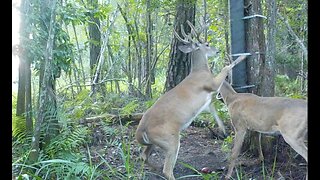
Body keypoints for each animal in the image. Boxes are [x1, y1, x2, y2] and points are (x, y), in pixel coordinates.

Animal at [135, 20, 248, 179]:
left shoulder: (207, 101)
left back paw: (155, 168)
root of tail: (140, 131)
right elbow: (226, 67)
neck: (200, 71)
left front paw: (223, 130)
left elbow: (215, 112)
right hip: (170, 139)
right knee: (167, 169)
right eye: (207, 44)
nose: (217, 51)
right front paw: (242, 56)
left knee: (144, 156)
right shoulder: (211, 84)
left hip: (154, 142)